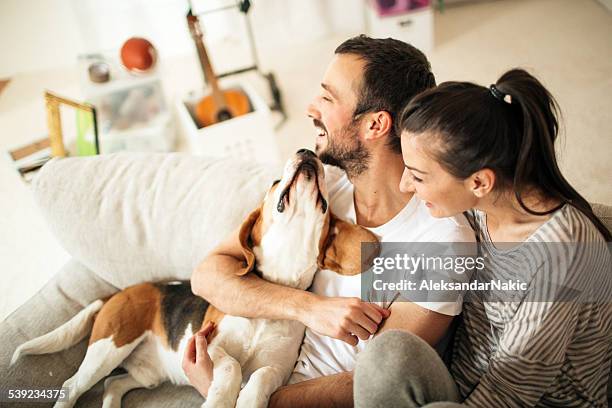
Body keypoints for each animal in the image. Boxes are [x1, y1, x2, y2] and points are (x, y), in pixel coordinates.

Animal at [11, 150, 378, 408]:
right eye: (275, 183)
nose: (306, 151)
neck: (274, 292)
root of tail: (122, 293)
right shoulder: (209, 344)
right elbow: (230, 368)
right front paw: (220, 398)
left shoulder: (279, 369)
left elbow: (260, 376)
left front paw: (248, 399)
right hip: (109, 347)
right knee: (72, 386)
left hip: (147, 374)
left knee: (112, 384)